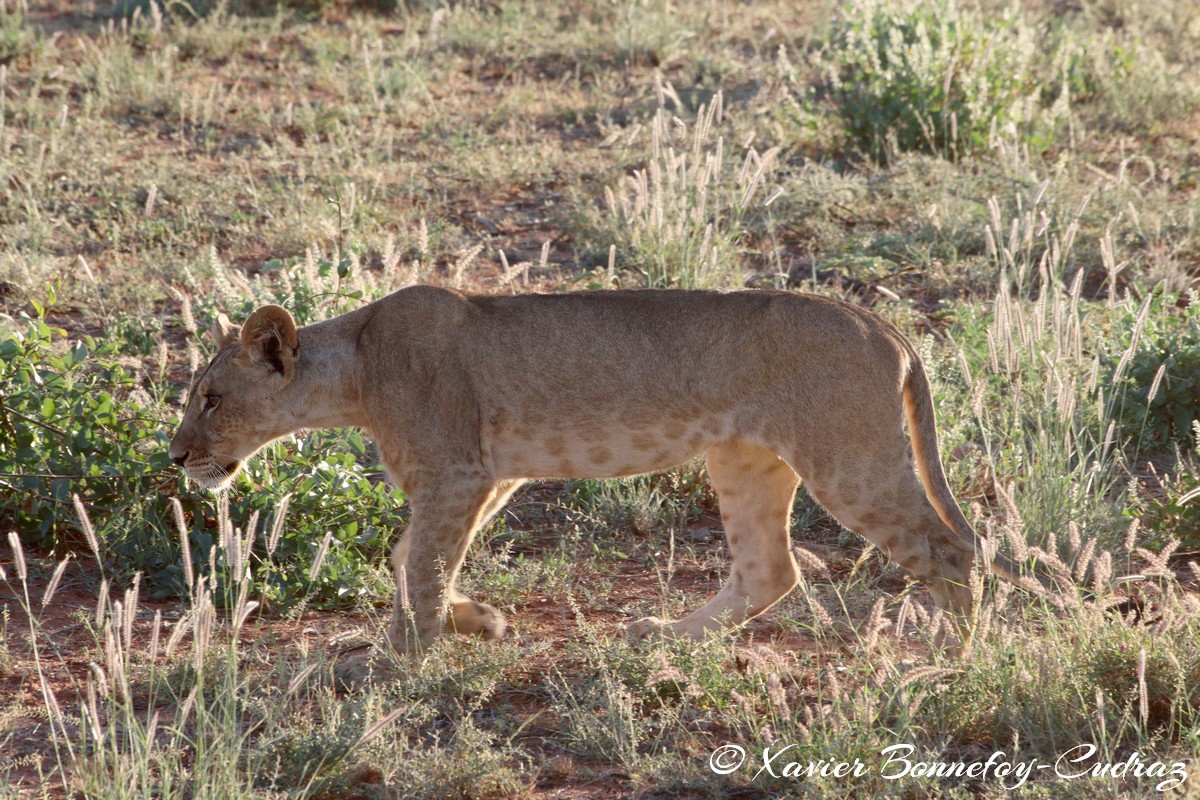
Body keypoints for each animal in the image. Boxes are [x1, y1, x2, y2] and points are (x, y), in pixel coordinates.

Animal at [169, 284, 1022, 681]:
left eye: (209, 398)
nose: (176, 458)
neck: (355, 367)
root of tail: (887, 328)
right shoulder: (490, 478)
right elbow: (413, 557)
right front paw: (475, 622)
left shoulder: (458, 472)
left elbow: (423, 566)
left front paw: (399, 657)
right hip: (744, 459)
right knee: (770, 570)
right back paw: (662, 637)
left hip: (850, 463)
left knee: (953, 549)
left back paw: (952, 659)